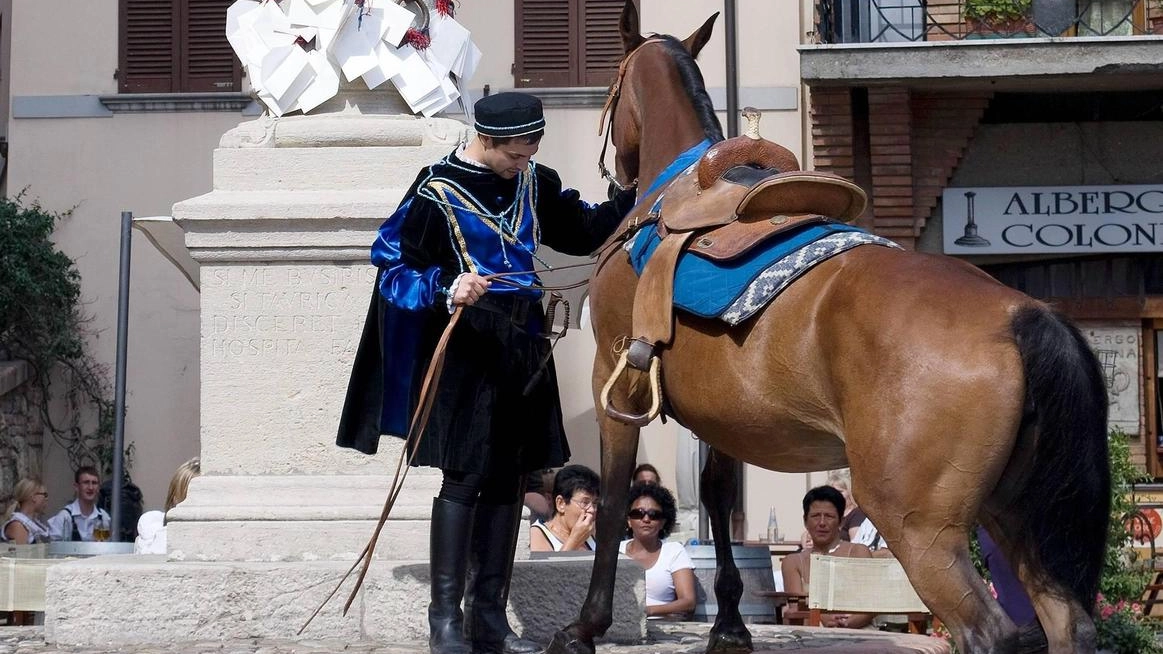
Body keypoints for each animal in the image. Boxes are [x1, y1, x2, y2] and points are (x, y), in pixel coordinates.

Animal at [544, 5, 1107, 651]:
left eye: (612, 91)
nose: (615, 177)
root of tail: (1020, 314)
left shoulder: (616, 384)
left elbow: (613, 502)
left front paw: (586, 625)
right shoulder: (719, 417)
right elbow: (716, 497)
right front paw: (730, 622)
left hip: (922, 530)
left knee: (985, 631)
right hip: (1014, 517)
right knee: (1068, 623)